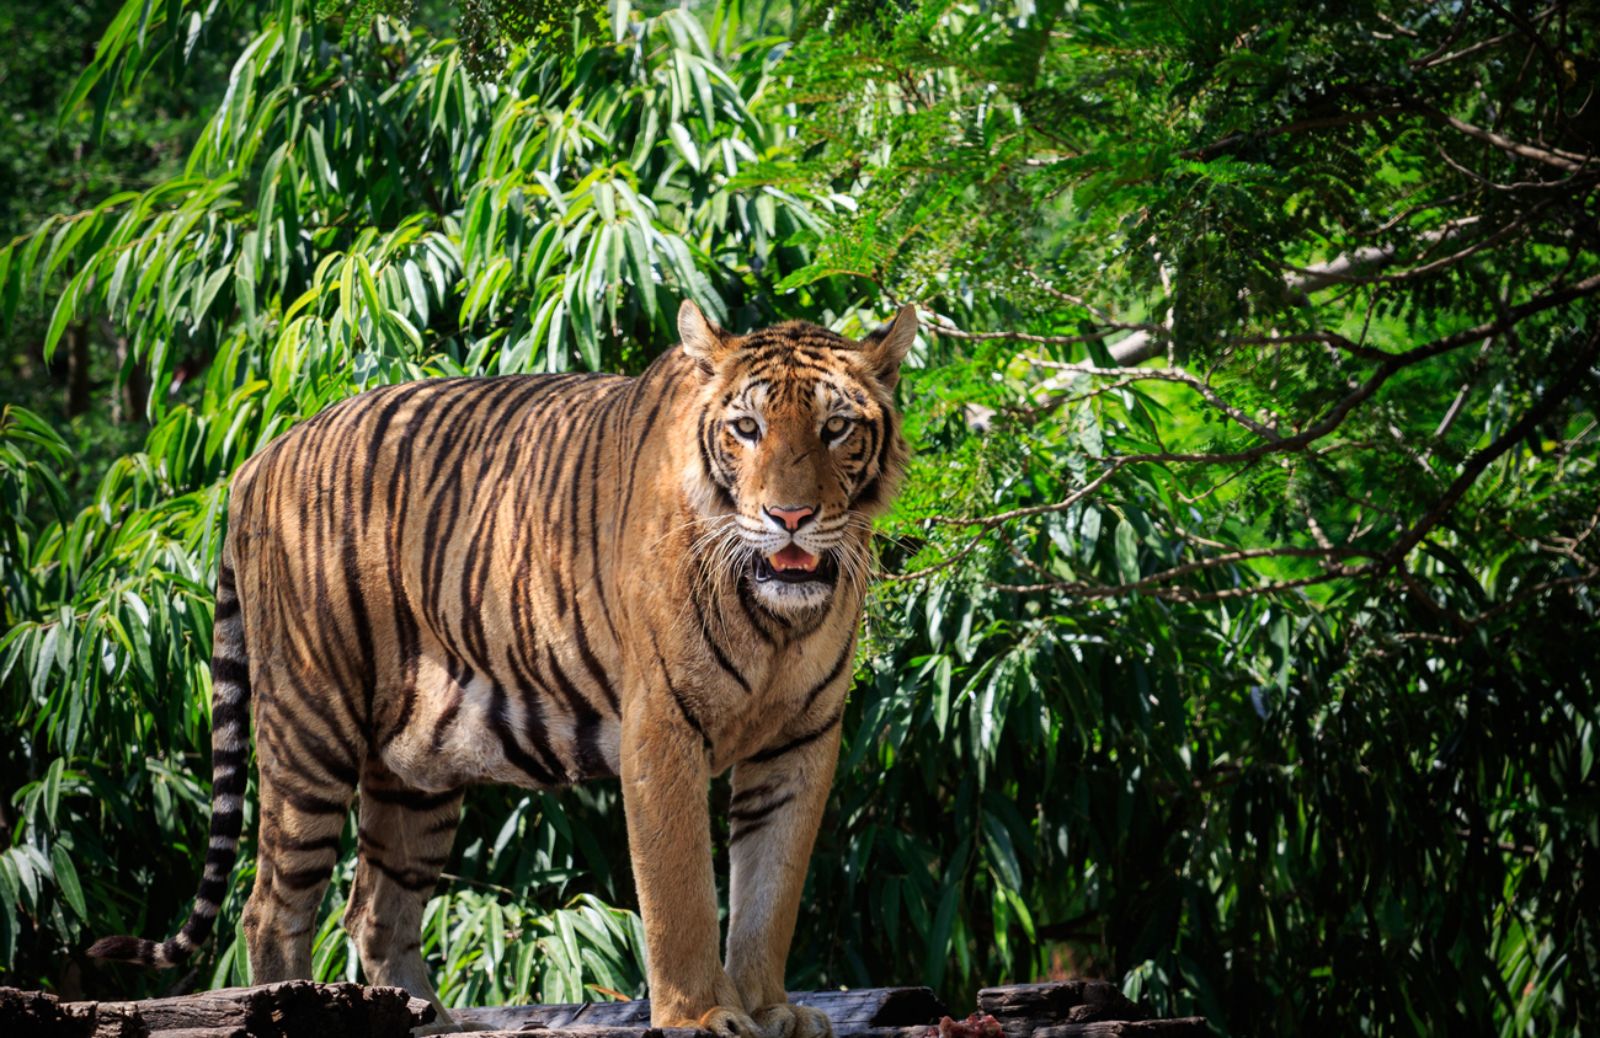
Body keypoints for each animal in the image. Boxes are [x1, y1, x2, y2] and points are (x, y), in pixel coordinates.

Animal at [87, 299, 915, 1036]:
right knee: (271, 908)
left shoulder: (802, 742)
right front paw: (702, 1017)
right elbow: (679, 891)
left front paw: (772, 1011)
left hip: (416, 770)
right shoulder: (662, 727)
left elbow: (770, 894)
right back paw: (286, 1012)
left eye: (836, 428)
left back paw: (427, 1021)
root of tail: (258, 456)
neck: (777, 619)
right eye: (746, 429)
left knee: (375, 909)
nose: (790, 517)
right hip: (308, 726)